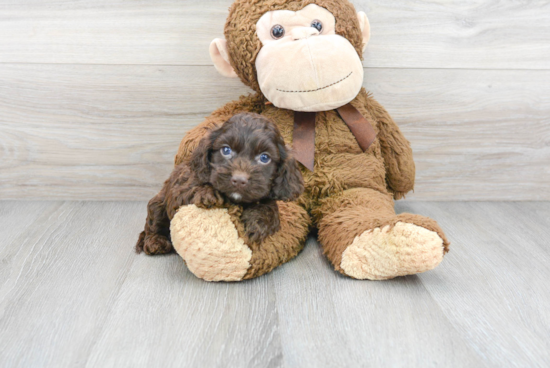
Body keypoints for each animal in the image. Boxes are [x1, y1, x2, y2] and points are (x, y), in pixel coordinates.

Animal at [136, 113, 304, 254]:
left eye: (264, 158)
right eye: (226, 150)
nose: (239, 180)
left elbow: (270, 206)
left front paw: (258, 222)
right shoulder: (181, 187)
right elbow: (191, 191)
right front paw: (208, 193)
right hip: (158, 204)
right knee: (153, 223)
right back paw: (155, 242)